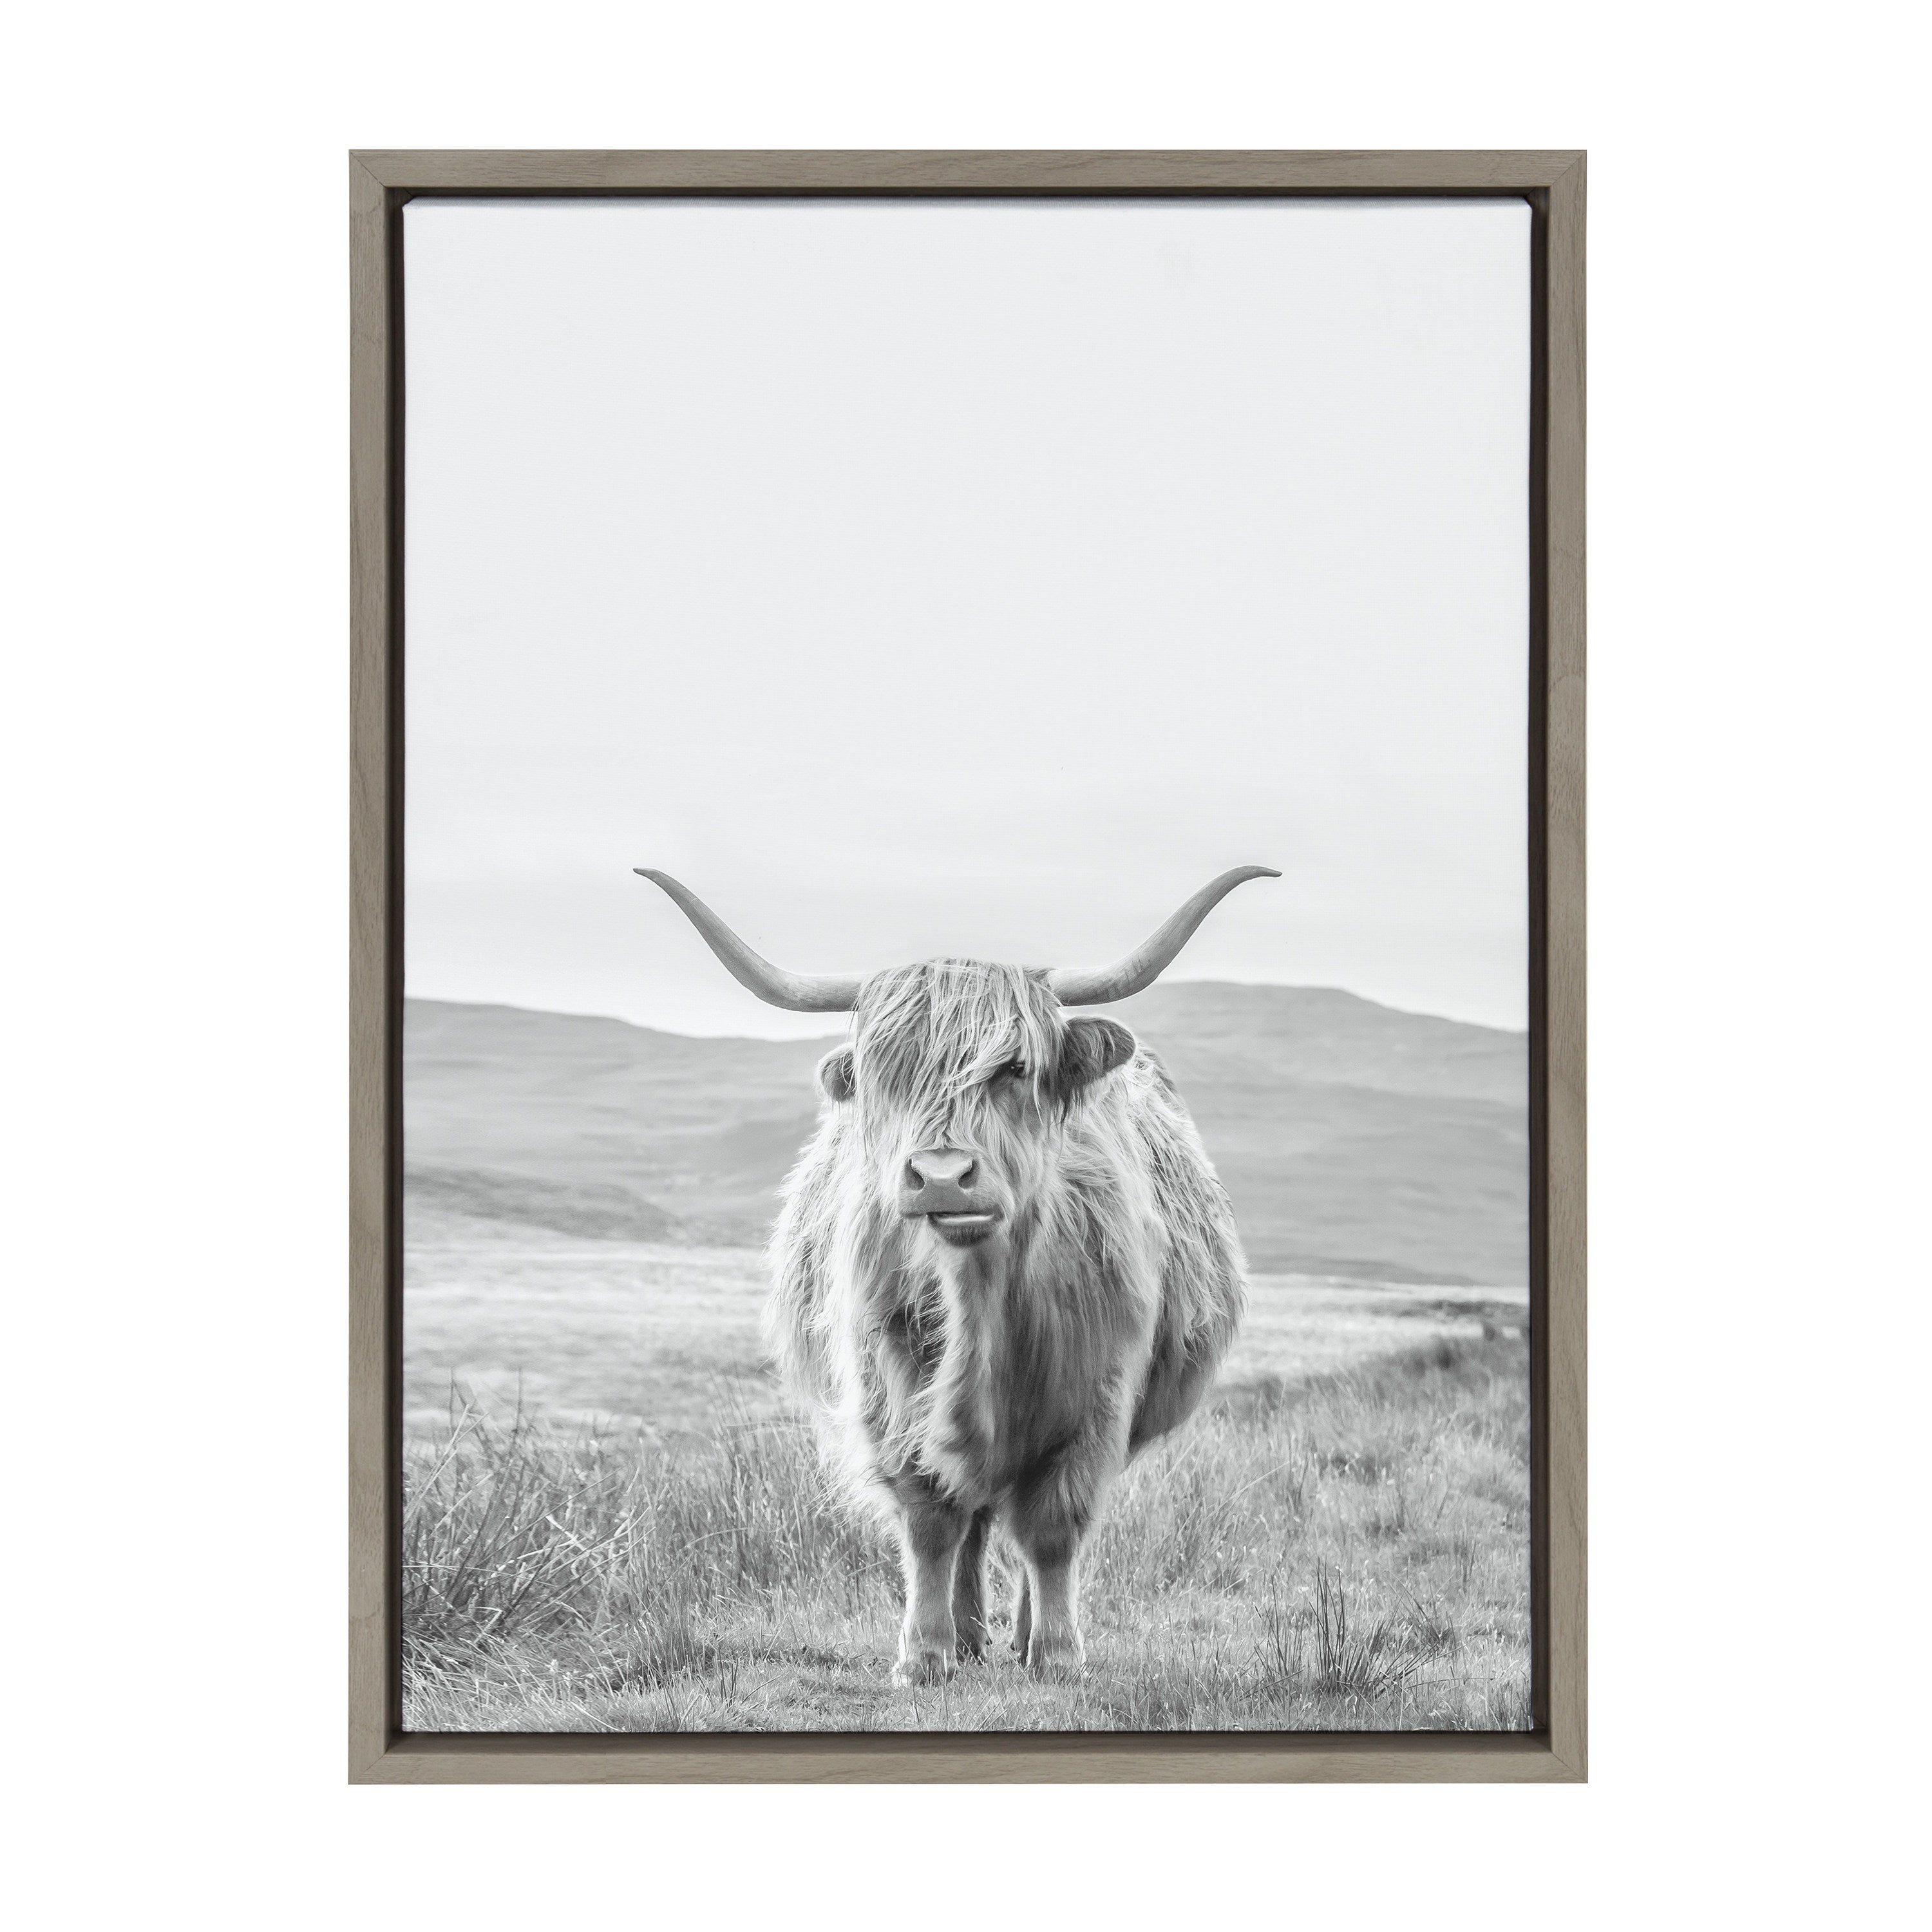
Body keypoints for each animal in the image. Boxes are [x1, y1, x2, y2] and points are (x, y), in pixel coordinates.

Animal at [635, 866, 1274, 1684]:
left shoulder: (1098, 1398)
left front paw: (1058, 1654)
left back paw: (1025, 1632)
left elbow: (1054, 1528)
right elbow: (931, 1518)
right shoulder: (889, 1386)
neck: (980, 1301)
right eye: (884, 1073)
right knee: (970, 1517)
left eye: (1016, 1069)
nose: (941, 1178)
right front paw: (925, 1654)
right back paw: (969, 1635)